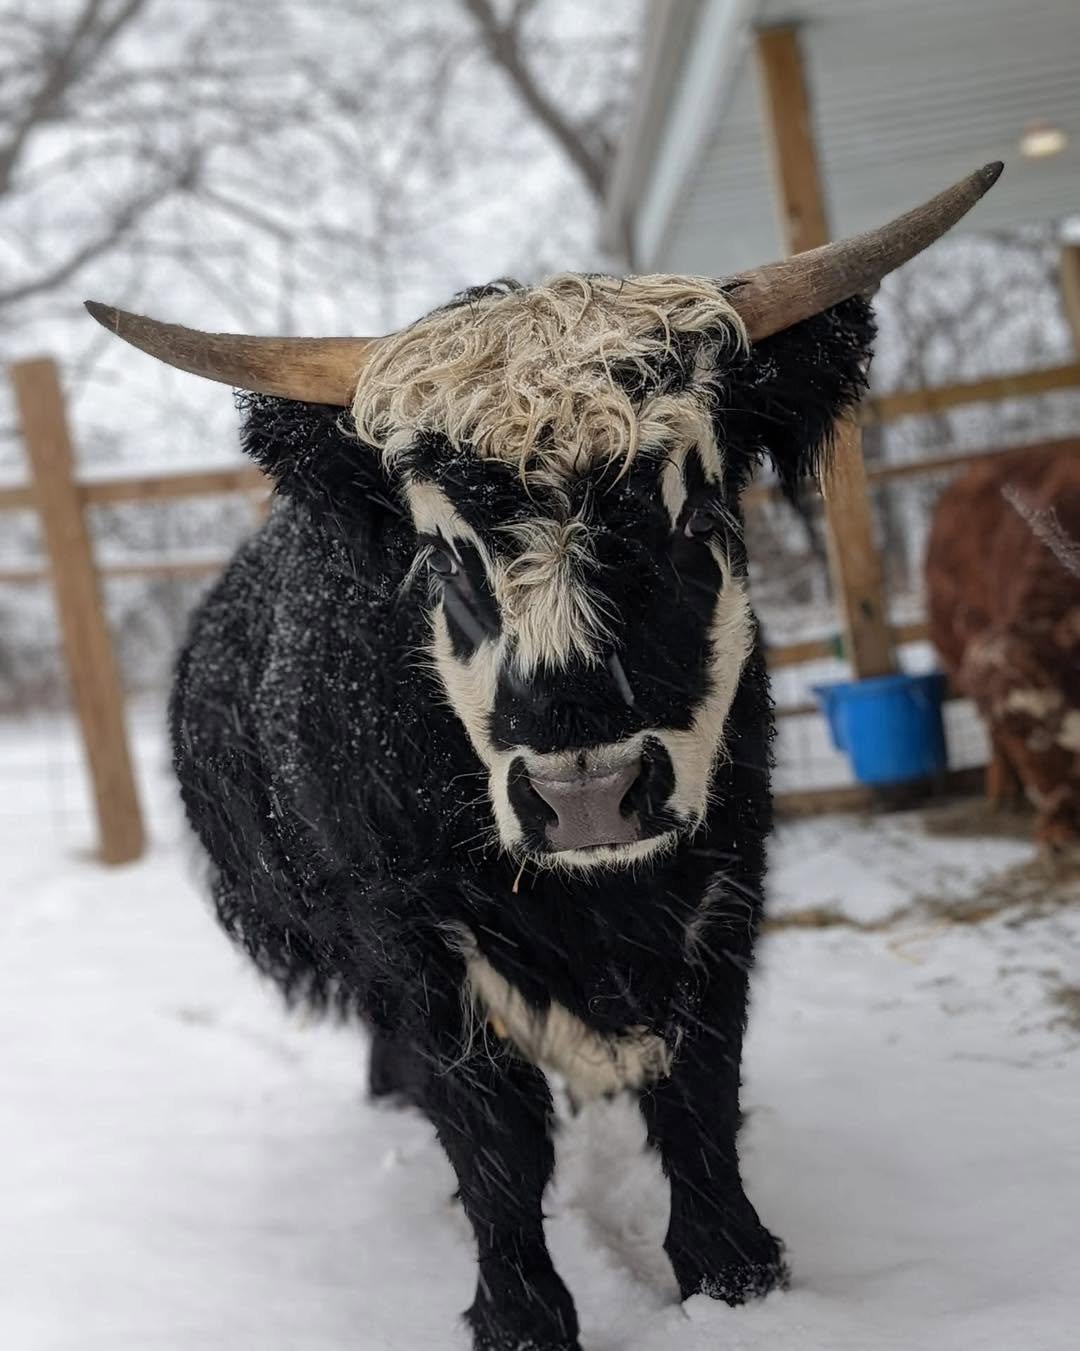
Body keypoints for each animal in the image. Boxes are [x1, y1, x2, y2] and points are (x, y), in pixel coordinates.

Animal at [90, 165, 999, 1351]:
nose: (592, 795)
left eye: (695, 513)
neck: (594, 912)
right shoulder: (413, 938)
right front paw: (521, 1312)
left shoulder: (725, 881)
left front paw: (733, 1272)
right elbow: (493, 1133)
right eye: (442, 555)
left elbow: (699, 1084)